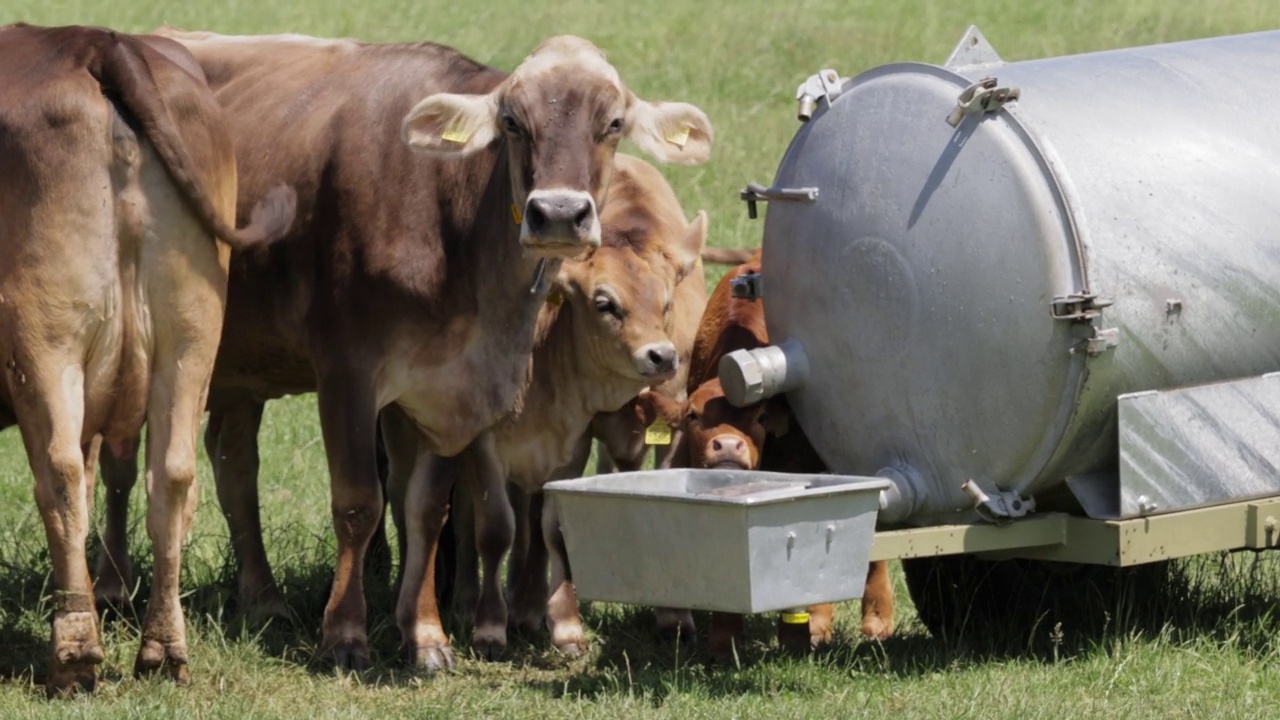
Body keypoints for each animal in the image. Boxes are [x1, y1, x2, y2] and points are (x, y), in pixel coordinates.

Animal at [404, 151, 711, 655]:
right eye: (605, 304)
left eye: (666, 303)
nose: (661, 356)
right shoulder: (488, 446)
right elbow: (496, 527)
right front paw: (491, 626)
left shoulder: (582, 445)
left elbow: (556, 528)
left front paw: (570, 625)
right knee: (472, 517)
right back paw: (480, 602)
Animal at [645, 249, 896, 653]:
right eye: (694, 415)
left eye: (760, 416)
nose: (728, 445)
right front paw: (724, 637)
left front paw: (800, 632)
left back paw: (872, 620)